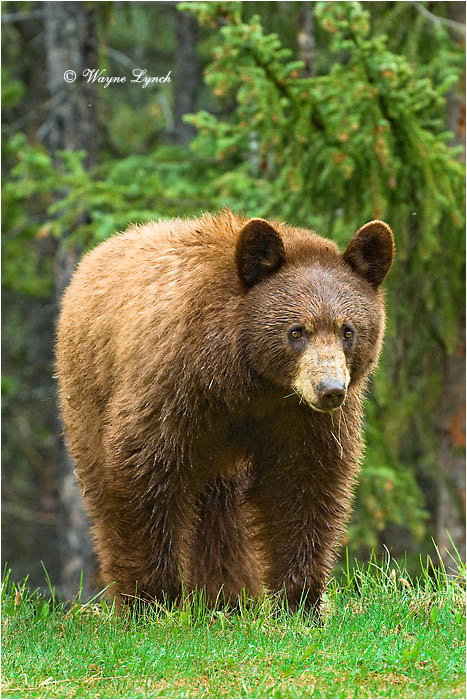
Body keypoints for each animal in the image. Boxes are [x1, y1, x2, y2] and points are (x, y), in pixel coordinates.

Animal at [56, 209, 394, 612]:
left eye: (348, 330)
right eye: (296, 331)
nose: (330, 390)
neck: (249, 382)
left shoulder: (298, 419)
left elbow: (303, 484)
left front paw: (300, 599)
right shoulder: (173, 387)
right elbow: (145, 471)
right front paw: (151, 599)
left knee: (221, 506)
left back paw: (227, 595)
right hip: (88, 392)